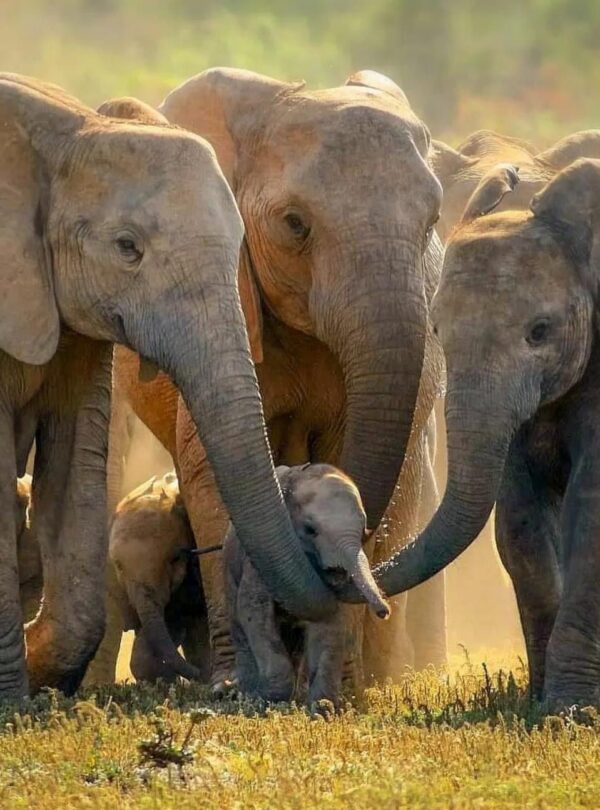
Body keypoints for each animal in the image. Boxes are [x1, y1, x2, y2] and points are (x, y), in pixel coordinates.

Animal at [224, 464, 389, 707]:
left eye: (363, 530)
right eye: (310, 530)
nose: (384, 611)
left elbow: (332, 621)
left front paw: (322, 708)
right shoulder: (259, 564)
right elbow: (253, 610)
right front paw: (267, 700)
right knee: (239, 624)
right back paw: (248, 692)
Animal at [358, 158, 600, 708]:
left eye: (540, 331)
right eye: (437, 331)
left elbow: (590, 517)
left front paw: (571, 708)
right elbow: (520, 524)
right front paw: (539, 703)